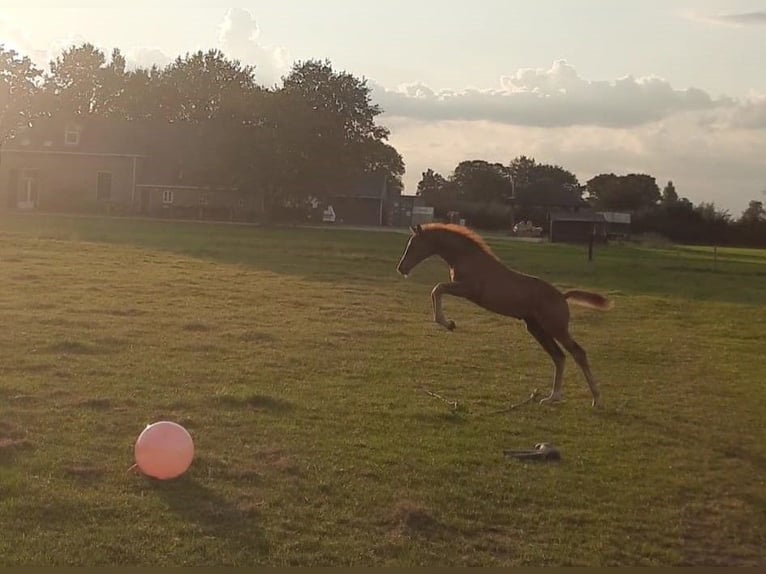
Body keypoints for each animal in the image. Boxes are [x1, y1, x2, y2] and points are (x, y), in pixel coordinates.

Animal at [400, 225, 616, 410]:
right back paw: (552, 397)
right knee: (559, 356)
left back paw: (596, 399)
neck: (469, 257)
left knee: (578, 353)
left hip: (555, 327)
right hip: (536, 328)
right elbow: (437, 290)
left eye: (413, 245)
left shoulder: (468, 289)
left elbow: (437, 289)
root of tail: (563, 296)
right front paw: (447, 323)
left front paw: (448, 323)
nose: (401, 268)